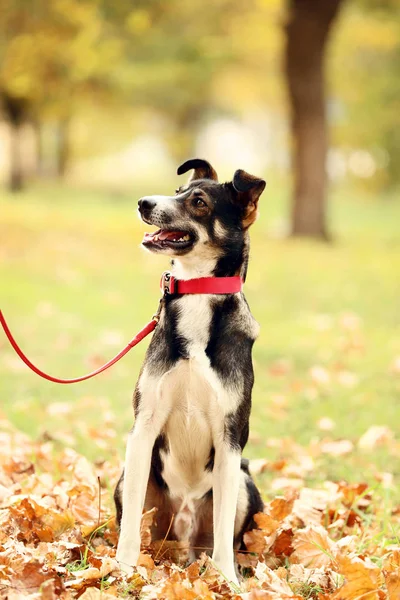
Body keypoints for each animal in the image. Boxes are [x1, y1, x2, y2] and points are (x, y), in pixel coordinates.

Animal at [114, 157, 268, 584]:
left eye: (198, 202)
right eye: (177, 191)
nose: (144, 202)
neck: (198, 293)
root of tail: (180, 541)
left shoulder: (230, 437)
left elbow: (223, 535)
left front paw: (227, 580)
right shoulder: (144, 426)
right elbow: (130, 525)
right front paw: (123, 570)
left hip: (243, 481)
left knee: (221, 537)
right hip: (130, 481)